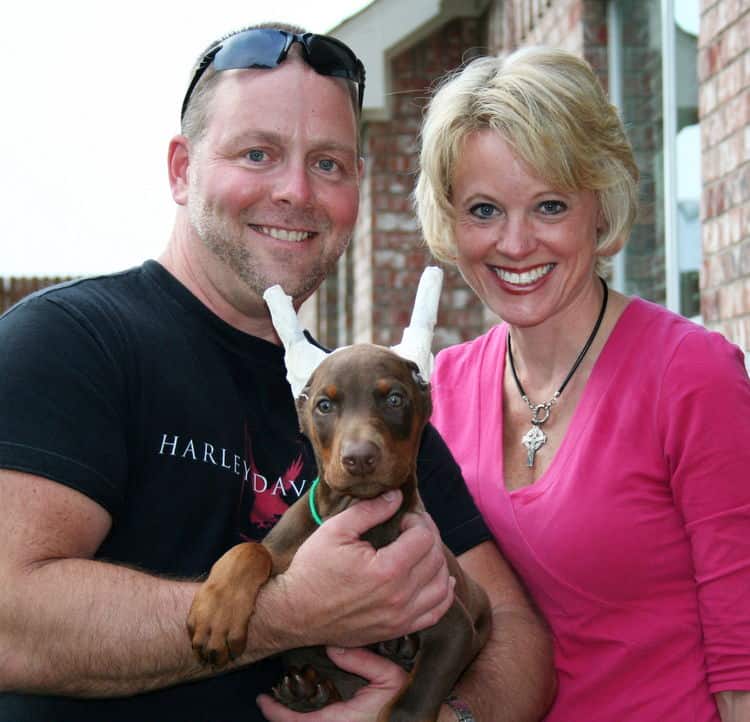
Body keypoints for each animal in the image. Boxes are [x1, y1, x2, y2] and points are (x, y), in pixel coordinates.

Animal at [188, 344, 494, 720]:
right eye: (324, 405)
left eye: (395, 399)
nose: (359, 458)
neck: (351, 507)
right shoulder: (288, 552)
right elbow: (251, 550)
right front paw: (217, 614)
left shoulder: (453, 628)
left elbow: (411, 702)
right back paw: (307, 693)